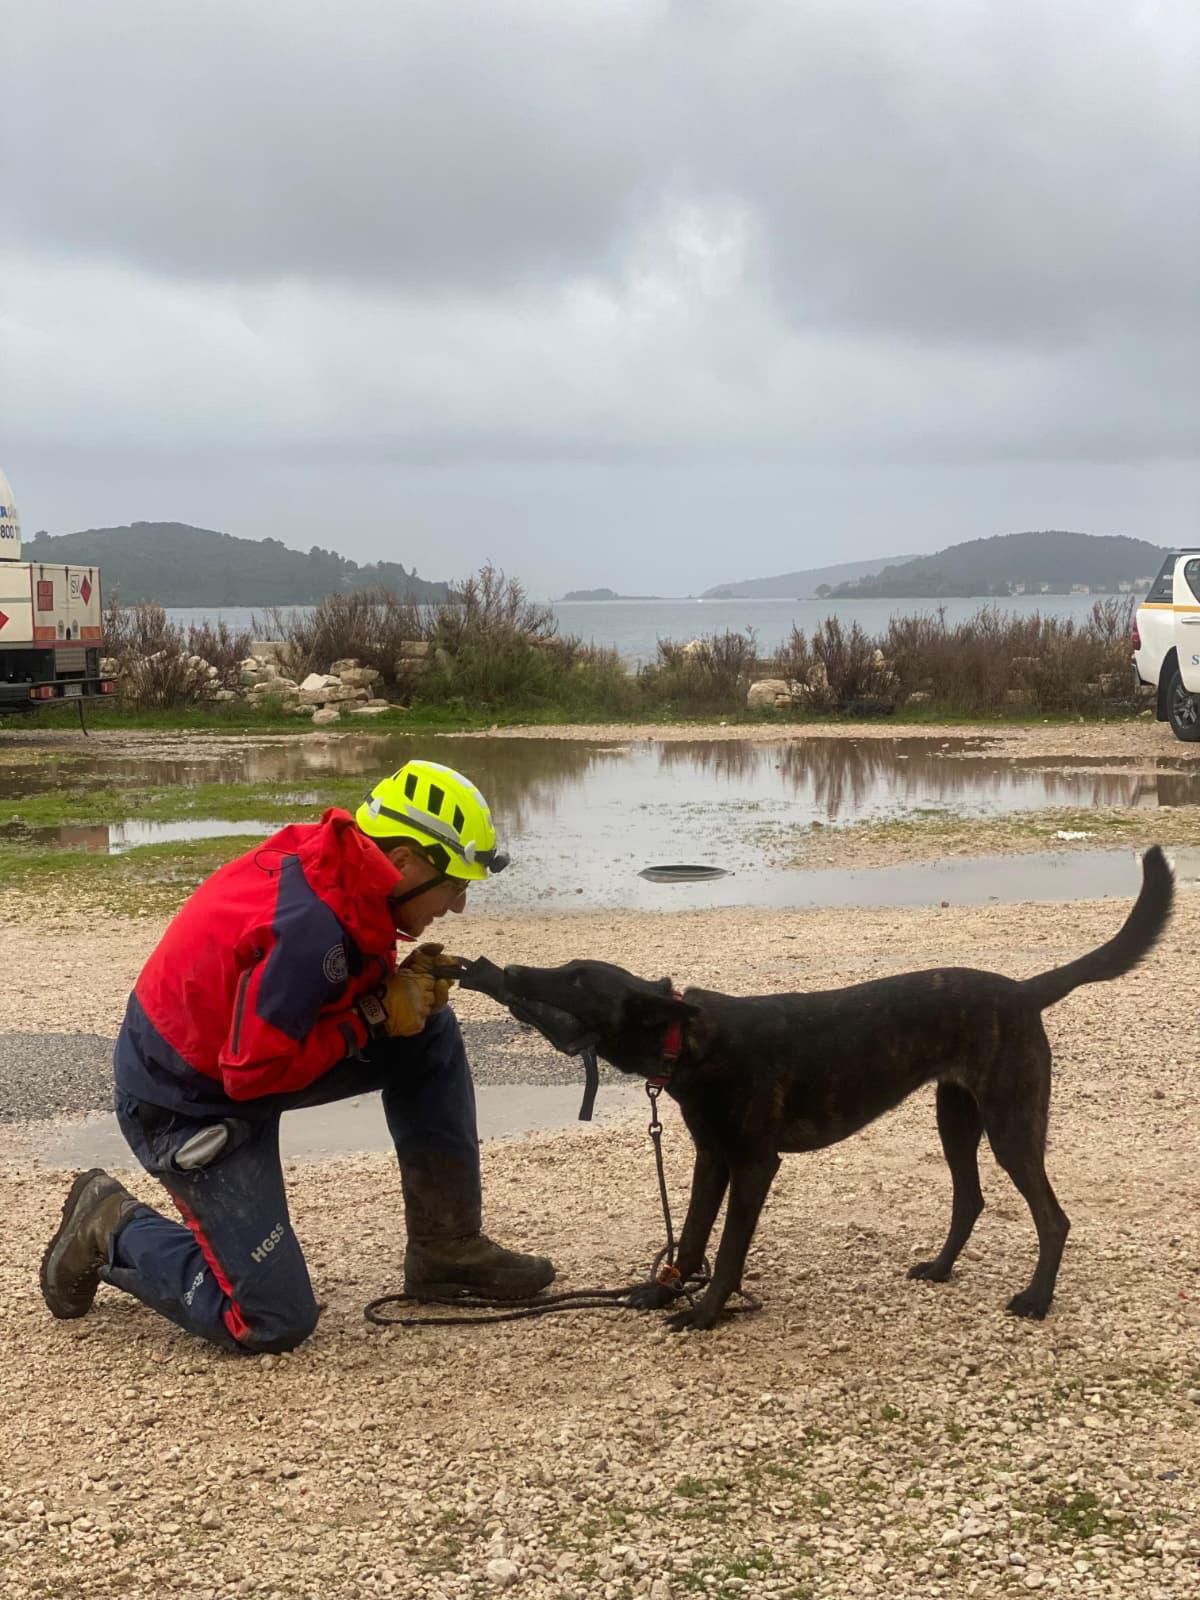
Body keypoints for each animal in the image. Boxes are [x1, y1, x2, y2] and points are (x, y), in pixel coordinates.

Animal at [502, 847, 1173, 1331]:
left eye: (577, 979)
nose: (509, 969)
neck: (690, 1041)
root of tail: (1024, 992)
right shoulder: (711, 1158)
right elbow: (691, 1238)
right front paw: (661, 1291)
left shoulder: (754, 1165)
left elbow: (727, 1250)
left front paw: (708, 1311)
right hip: (956, 1119)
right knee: (970, 1199)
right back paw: (942, 1268)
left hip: (1011, 1124)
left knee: (1052, 1218)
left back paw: (1036, 1299)